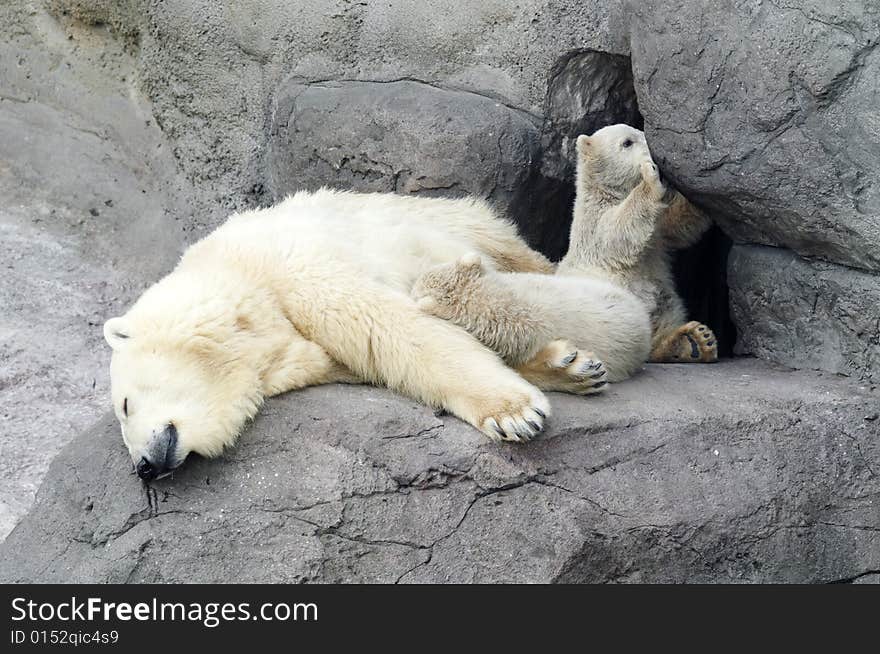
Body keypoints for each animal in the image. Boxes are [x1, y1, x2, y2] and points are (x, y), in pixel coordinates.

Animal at [105, 190, 648, 482]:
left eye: (125, 405)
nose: (144, 468)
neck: (243, 279)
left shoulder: (298, 266)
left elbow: (388, 327)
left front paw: (512, 413)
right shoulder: (306, 351)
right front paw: (562, 369)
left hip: (460, 224)